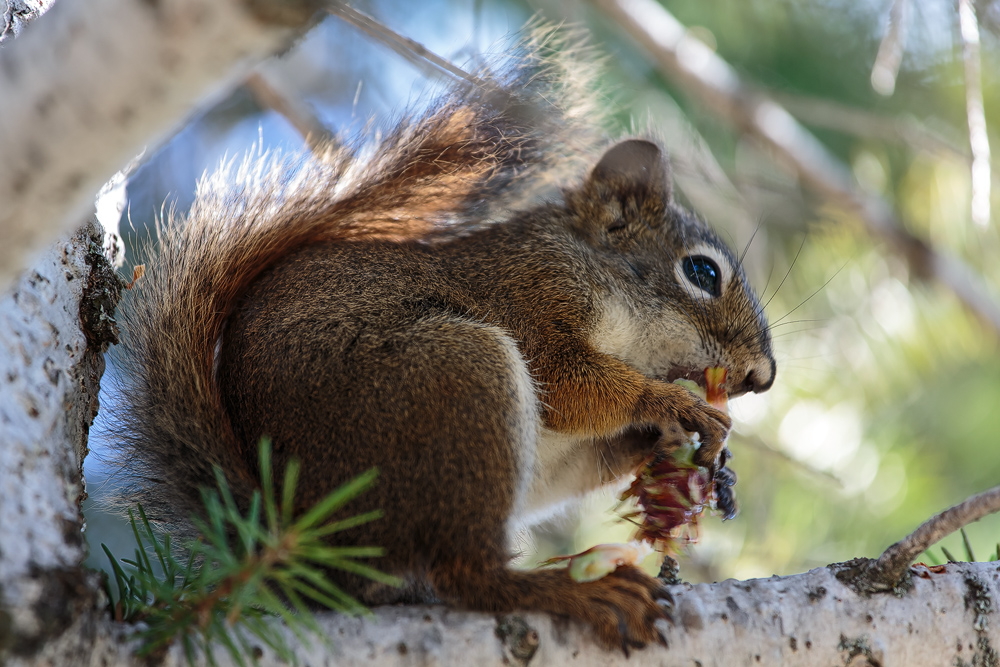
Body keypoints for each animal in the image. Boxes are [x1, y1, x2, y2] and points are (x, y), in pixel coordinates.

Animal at [113, 31, 776, 652]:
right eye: (702, 272)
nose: (763, 376)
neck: (592, 268)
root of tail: (305, 546)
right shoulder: (529, 291)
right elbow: (566, 382)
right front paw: (670, 404)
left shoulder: (555, 447)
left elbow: (572, 464)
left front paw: (696, 461)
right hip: (454, 379)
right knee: (467, 575)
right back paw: (566, 591)